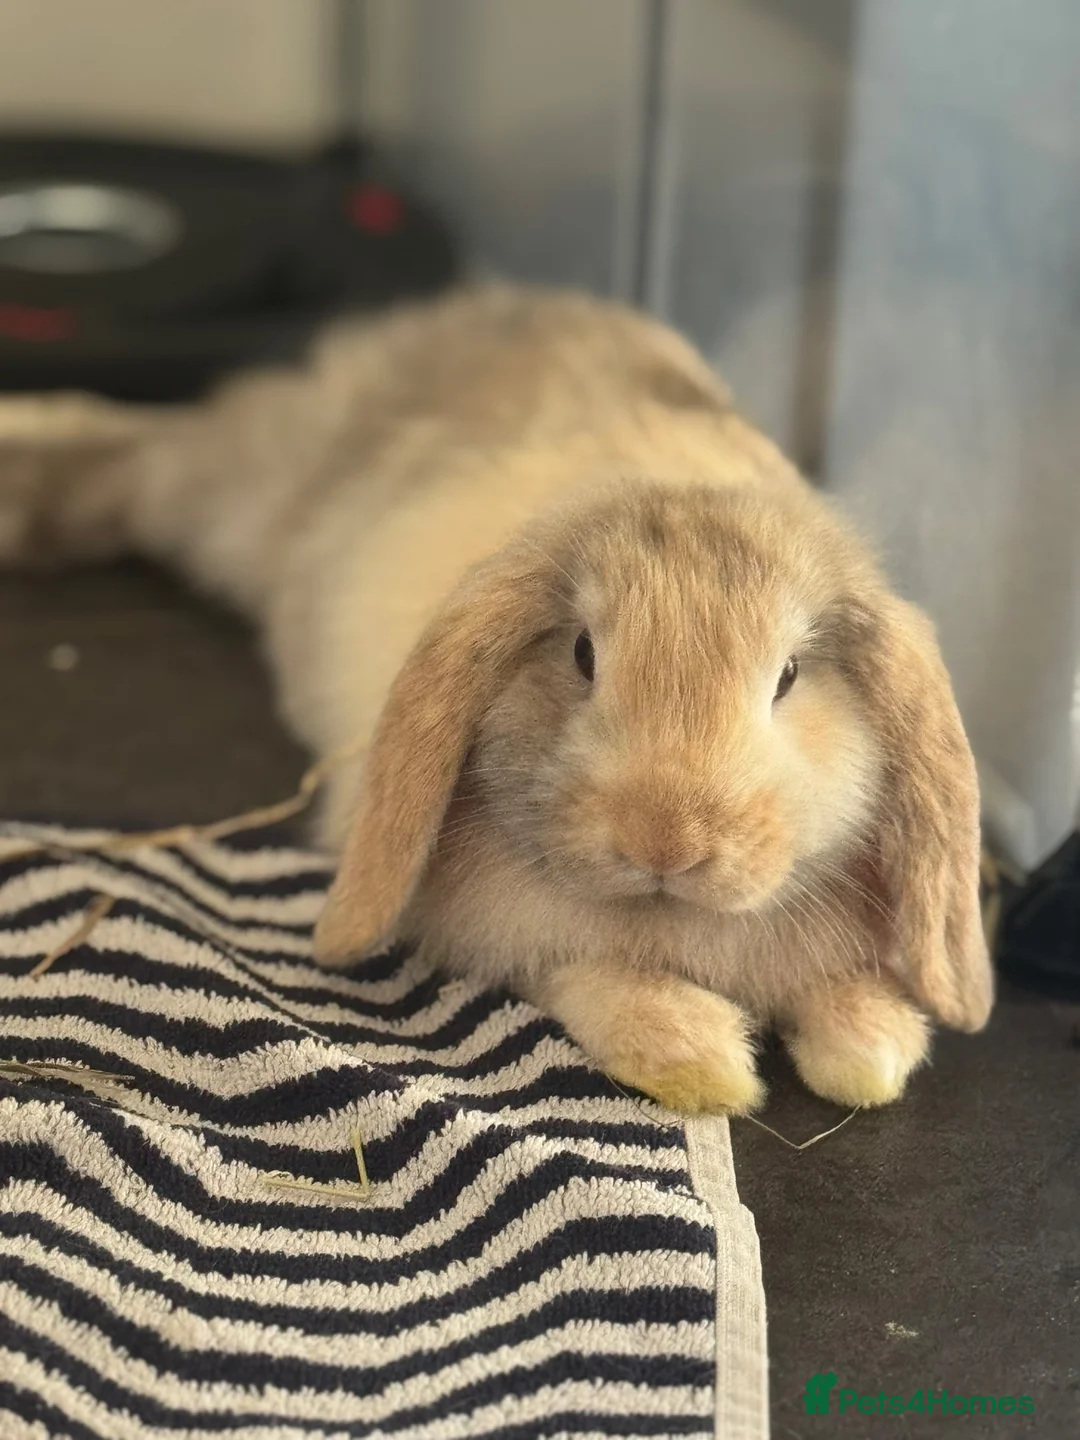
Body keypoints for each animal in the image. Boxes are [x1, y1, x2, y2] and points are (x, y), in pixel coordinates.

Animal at [0, 282, 992, 1113]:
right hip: (225, 489)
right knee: (139, 446)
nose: (665, 841)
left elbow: (848, 996)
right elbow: (596, 975)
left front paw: (872, 1054)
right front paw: (702, 1061)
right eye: (584, 655)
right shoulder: (518, 933)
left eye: (788, 676)